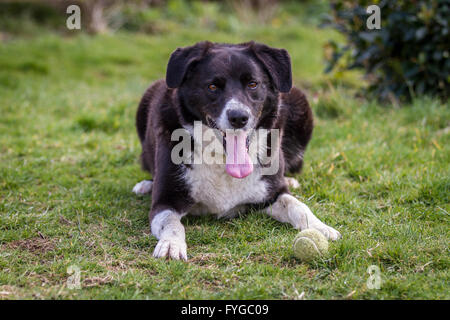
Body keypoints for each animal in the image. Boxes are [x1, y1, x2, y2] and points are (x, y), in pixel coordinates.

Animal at [134, 41, 342, 260]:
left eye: (253, 84)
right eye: (213, 86)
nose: (239, 117)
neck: (222, 159)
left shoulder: (271, 194)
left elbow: (297, 205)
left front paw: (320, 227)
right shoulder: (165, 201)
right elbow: (172, 224)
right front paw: (171, 244)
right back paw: (145, 185)